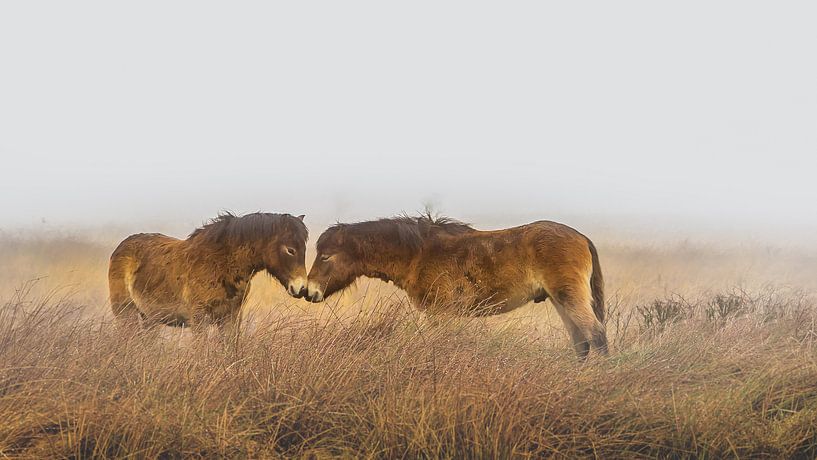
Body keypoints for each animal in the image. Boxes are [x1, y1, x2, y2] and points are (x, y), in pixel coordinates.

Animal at [108, 212, 308, 339]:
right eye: (290, 250)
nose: (301, 288)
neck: (220, 263)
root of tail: (120, 248)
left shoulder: (230, 318)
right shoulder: (199, 320)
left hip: (150, 319)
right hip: (127, 314)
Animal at [305, 215, 607, 358]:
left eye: (325, 256)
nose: (308, 291)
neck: (418, 253)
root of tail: (581, 236)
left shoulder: (439, 313)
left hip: (569, 297)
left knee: (596, 335)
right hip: (560, 299)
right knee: (581, 342)